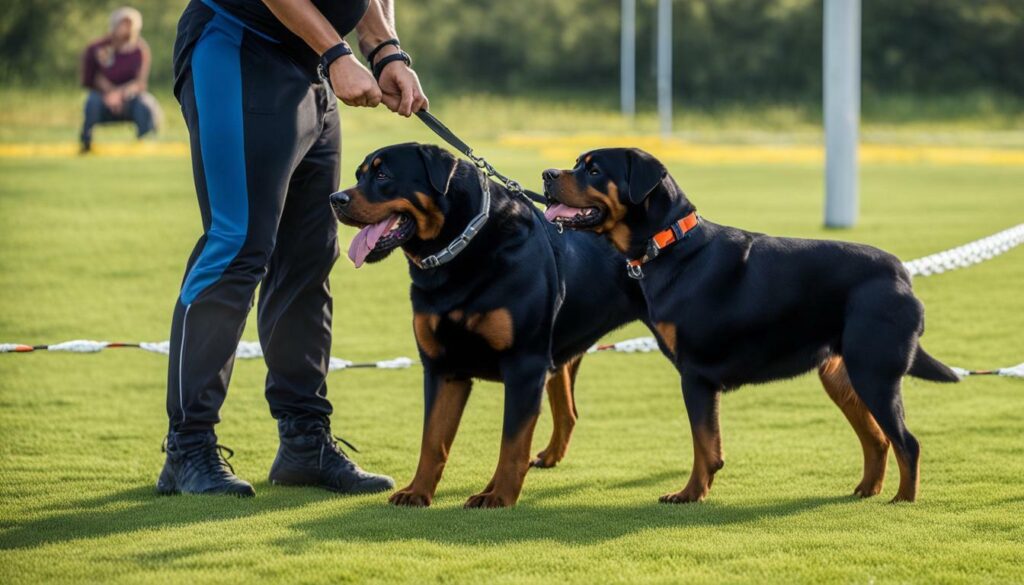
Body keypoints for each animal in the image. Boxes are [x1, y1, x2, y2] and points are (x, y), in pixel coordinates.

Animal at [327, 143, 647, 508]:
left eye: (382, 175)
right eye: (358, 175)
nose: (335, 198)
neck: (459, 252)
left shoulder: (525, 366)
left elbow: (511, 444)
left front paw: (499, 497)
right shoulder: (442, 367)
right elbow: (432, 441)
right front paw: (418, 491)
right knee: (567, 410)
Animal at [544, 148, 958, 506]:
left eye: (594, 170)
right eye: (577, 163)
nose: (547, 175)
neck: (670, 244)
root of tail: (903, 275)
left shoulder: (695, 375)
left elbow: (703, 444)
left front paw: (689, 494)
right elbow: (708, 443)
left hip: (875, 374)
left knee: (907, 442)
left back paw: (903, 500)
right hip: (843, 376)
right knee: (877, 440)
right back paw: (867, 490)